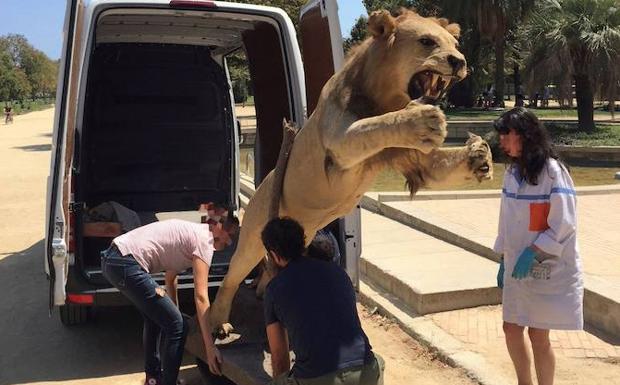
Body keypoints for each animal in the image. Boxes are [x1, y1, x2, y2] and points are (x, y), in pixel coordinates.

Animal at [208, 9, 494, 332]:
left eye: (455, 44)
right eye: (427, 41)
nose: (459, 61)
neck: (387, 97)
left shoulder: (413, 160)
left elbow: (441, 165)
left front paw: (479, 156)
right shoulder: (339, 145)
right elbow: (374, 125)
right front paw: (421, 119)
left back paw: (262, 289)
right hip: (254, 233)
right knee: (232, 276)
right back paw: (218, 321)